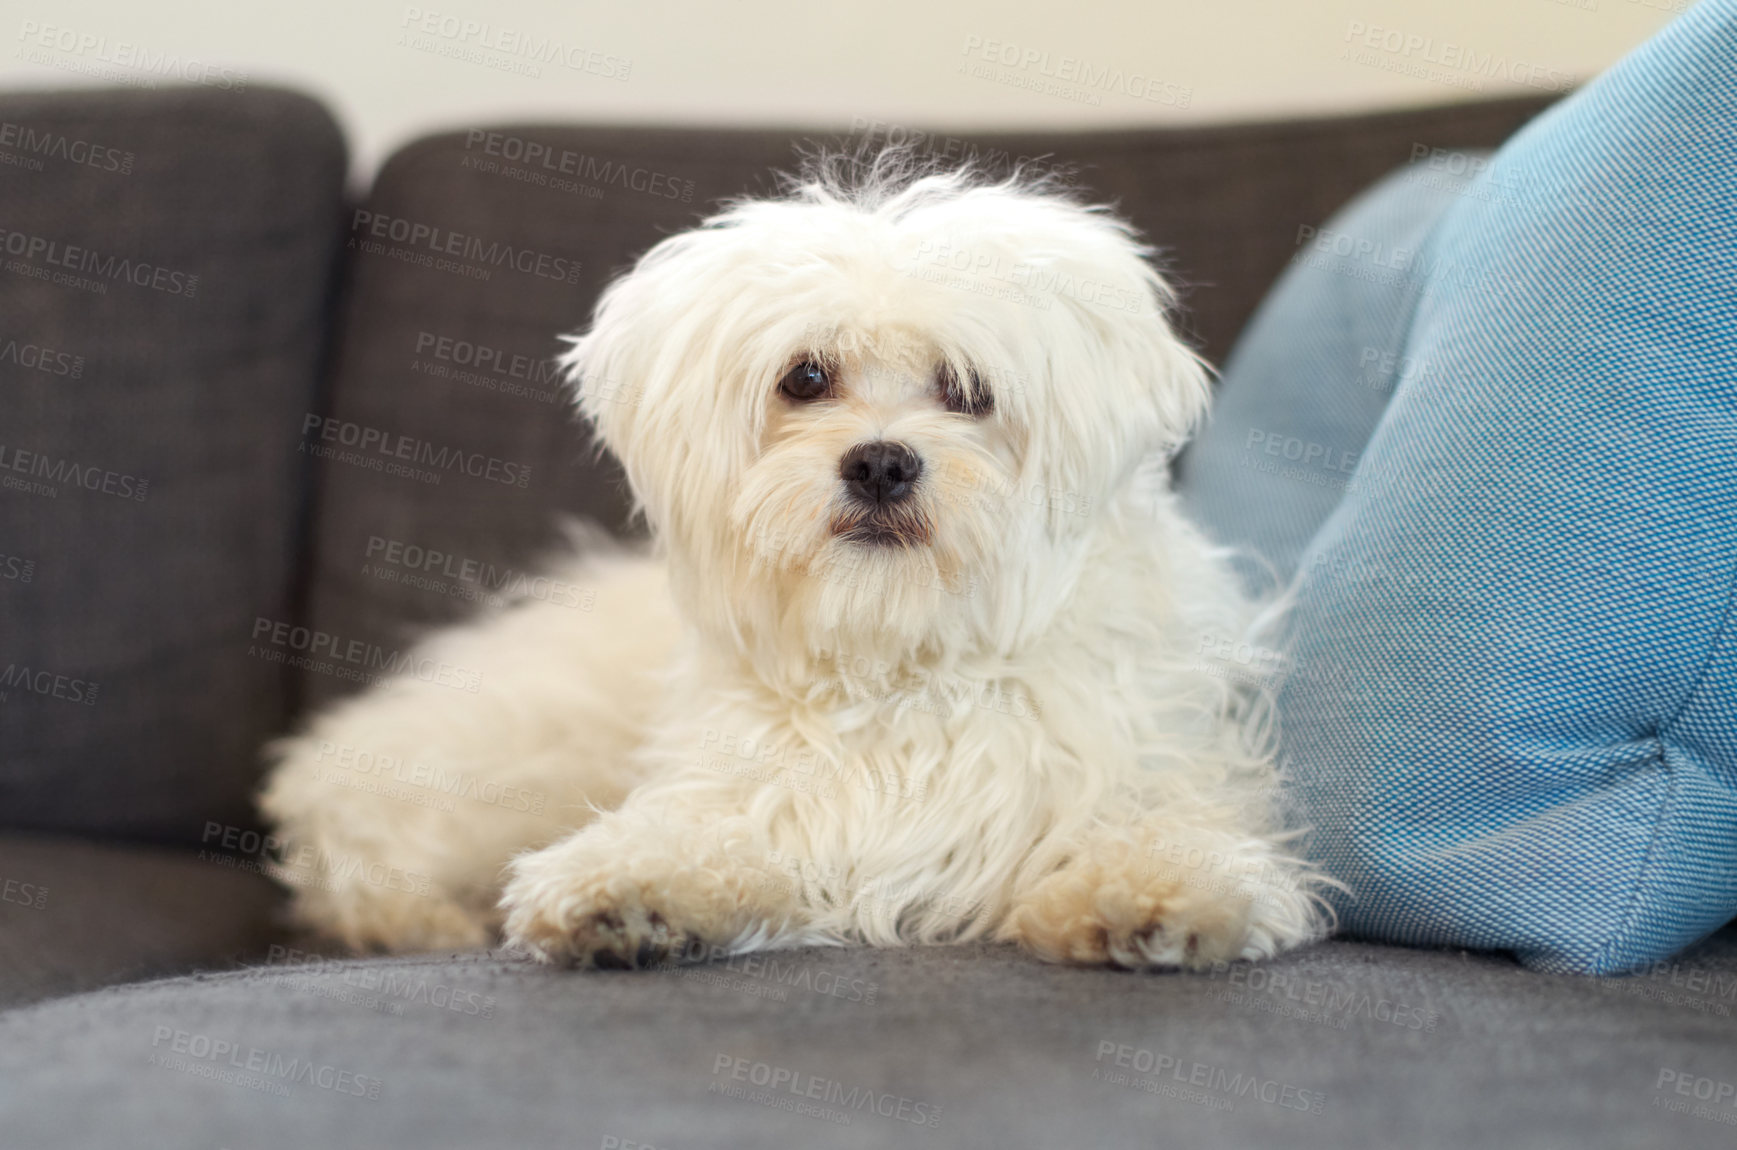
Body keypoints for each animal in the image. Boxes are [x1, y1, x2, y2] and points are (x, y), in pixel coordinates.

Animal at [257, 152, 1320, 972]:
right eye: (805, 378)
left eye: (966, 390)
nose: (881, 462)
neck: (899, 655)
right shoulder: (770, 803)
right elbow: (707, 838)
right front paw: (626, 889)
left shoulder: (1149, 765)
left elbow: (1163, 829)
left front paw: (1150, 893)